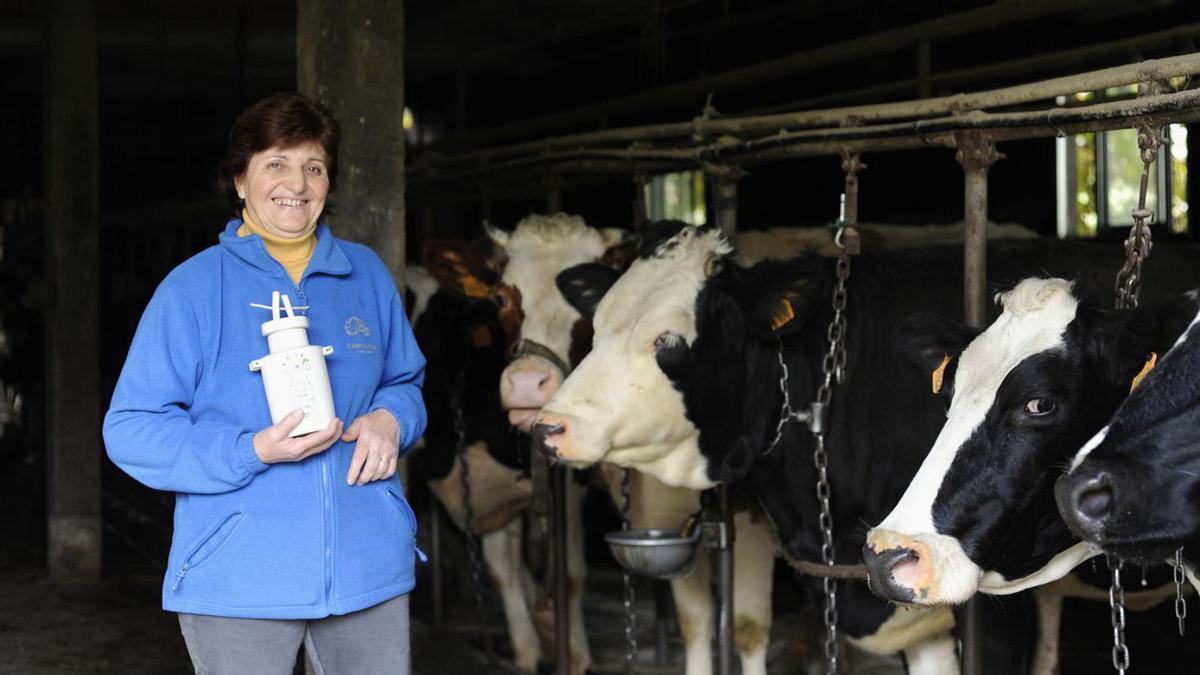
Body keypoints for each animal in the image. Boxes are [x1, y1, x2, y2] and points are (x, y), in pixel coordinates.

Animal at [422, 213, 777, 672]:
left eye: (582, 312)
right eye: (501, 298)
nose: (527, 383)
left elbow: (570, 575)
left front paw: (574, 655)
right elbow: (506, 570)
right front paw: (529, 652)